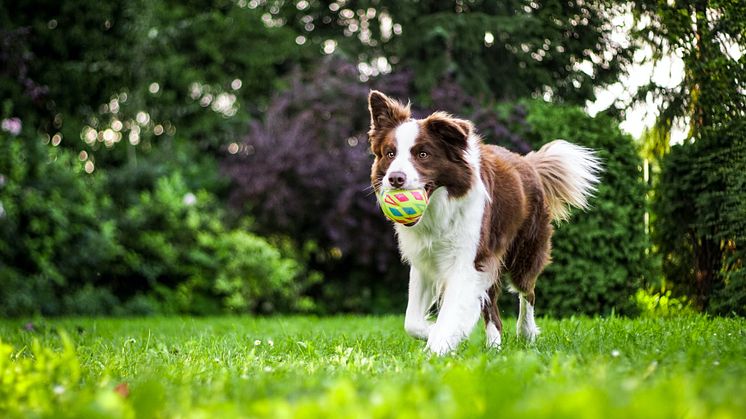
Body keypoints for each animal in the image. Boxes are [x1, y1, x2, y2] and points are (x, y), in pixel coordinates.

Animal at [366, 91, 600, 354]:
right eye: (390, 154)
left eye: (423, 154)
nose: (395, 178)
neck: (439, 208)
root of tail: (528, 162)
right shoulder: (425, 260)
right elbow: (412, 322)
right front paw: (436, 333)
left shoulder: (468, 260)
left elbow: (451, 311)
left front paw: (438, 346)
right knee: (493, 309)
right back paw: (494, 347)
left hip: (524, 252)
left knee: (527, 291)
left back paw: (526, 332)